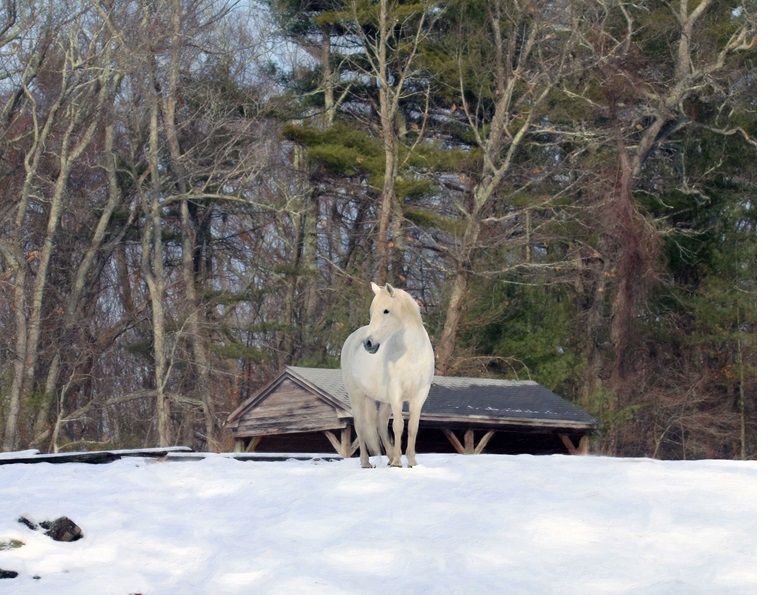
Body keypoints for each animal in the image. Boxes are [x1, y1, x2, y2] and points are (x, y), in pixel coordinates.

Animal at [340, 284, 432, 470]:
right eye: (372, 311)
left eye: (386, 311)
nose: (369, 344)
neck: (412, 355)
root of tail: (352, 338)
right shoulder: (396, 393)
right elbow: (398, 426)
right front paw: (398, 463)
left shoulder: (420, 395)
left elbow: (413, 427)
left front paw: (411, 462)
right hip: (357, 396)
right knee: (361, 426)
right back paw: (366, 462)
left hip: (383, 401)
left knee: (380, 426)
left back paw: (390, 457)